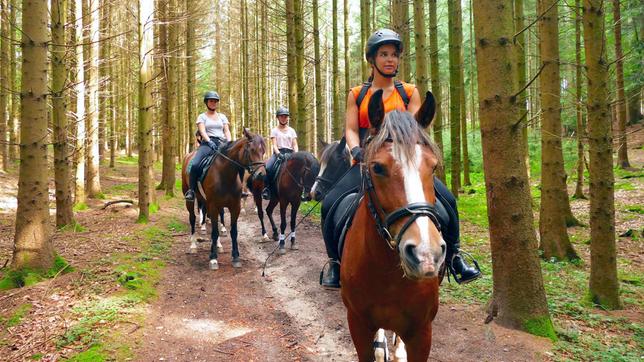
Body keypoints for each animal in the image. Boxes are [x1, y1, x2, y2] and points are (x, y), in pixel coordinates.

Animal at [180, 129, 266, 270]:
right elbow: (214, 232)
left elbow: (233, 231)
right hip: (190, 199)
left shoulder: (235, 206)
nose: (261, 175)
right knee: (192, 218)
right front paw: (213, 258)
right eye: (252, 150)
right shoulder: (213, 205)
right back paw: (193, 245)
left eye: (263, 151)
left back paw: (218, 245)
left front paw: (236, 257)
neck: (225, 174)